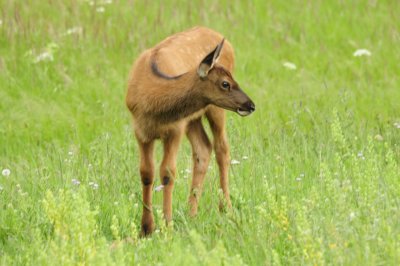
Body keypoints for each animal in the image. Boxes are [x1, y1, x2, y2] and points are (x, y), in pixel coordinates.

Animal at [126, 26, 255, 236]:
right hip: (194, 118)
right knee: (204, 148)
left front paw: (167, 224)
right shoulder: (140, 131)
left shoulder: (176, 128)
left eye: (232, 79)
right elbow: (146, 173)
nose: (251, 105)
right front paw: (146, 228)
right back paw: (191, 213)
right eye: (225, 83)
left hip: (213, 110)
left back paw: (225, 208)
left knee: (222, 148)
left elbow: (167, 172)